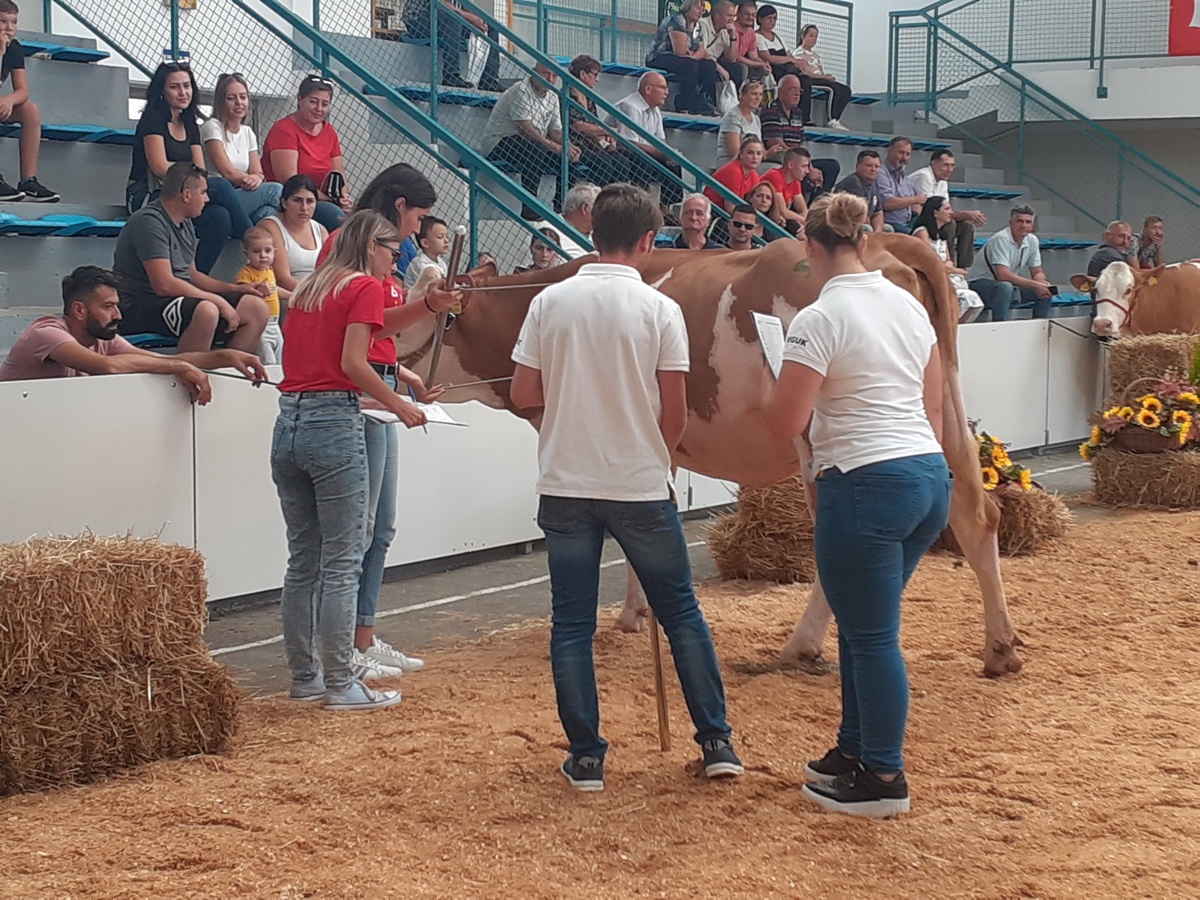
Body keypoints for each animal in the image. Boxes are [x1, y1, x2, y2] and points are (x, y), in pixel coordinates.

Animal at [400, 236, 1022, 681]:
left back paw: (803, 646)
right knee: (975, 514)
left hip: (826, 436)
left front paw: (630, 615)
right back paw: (999, 650)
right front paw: (639, 612)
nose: (391, 364)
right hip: (941, 411)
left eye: (425, 313)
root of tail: (884, 239)